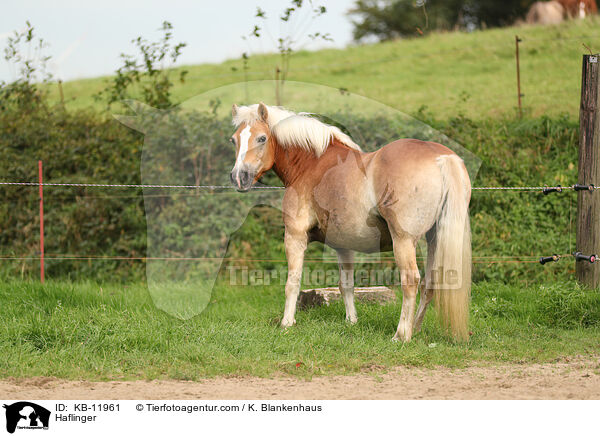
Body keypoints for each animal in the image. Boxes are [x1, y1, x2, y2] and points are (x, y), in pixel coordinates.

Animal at [227, 102, 472, 340]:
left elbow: (292, 283)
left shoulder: (295, 236)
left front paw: (287, 323)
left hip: (404, 241)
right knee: (431, 284)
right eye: (234, 140)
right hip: (434, 239)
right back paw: (416, 329)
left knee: (411, 281)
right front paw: (351, 321)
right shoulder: (343, 245)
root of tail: (441, 157)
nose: (239, 177)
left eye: (262, 138)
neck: (312, 164)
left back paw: (401, 335)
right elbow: (346, 284)